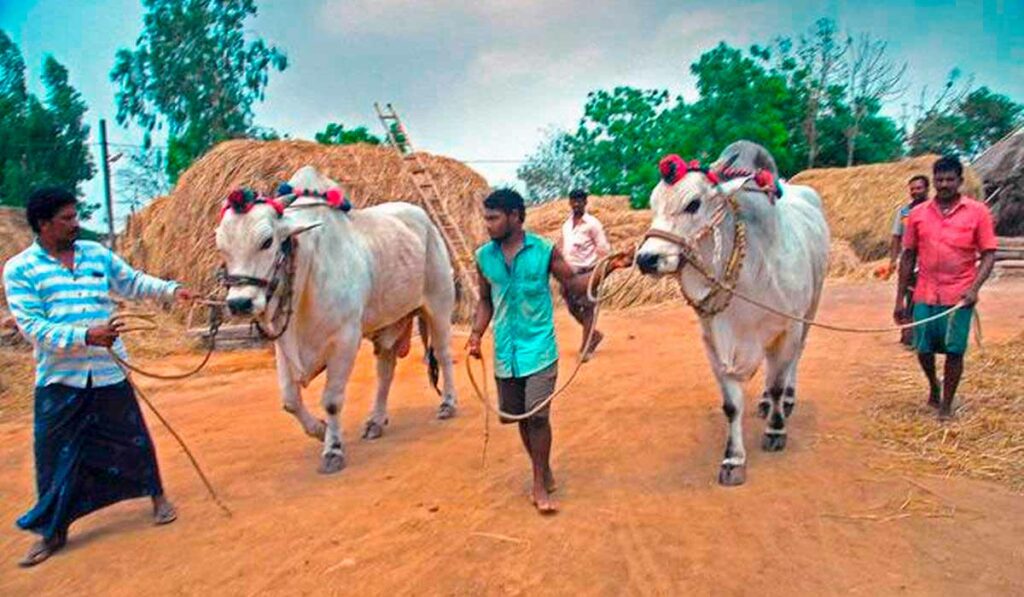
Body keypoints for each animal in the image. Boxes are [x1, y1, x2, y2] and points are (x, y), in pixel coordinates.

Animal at [215, 165, 456, 475]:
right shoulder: (283, 344)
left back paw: (448, 404)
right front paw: (319, 429)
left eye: (267, 242)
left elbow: (331, 400)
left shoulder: (345, 339)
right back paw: (376, 420)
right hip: (388, 326)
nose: (239, 303)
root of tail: (426, 221)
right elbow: (289, 400)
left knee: (443, 355)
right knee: (385, 371)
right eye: (221, 247)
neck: (306, 269)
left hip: (439, 306)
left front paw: (333, 449)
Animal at [634, 142, 827, 487]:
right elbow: (732, 406)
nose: (646, 258)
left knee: (793, 362)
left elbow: (777, 382)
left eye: (693, 204)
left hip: (810, 309)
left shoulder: (787, 328)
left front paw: (776, 429)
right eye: (653, 204)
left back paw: (786, 401)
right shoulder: (714, 343)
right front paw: (733, 459)